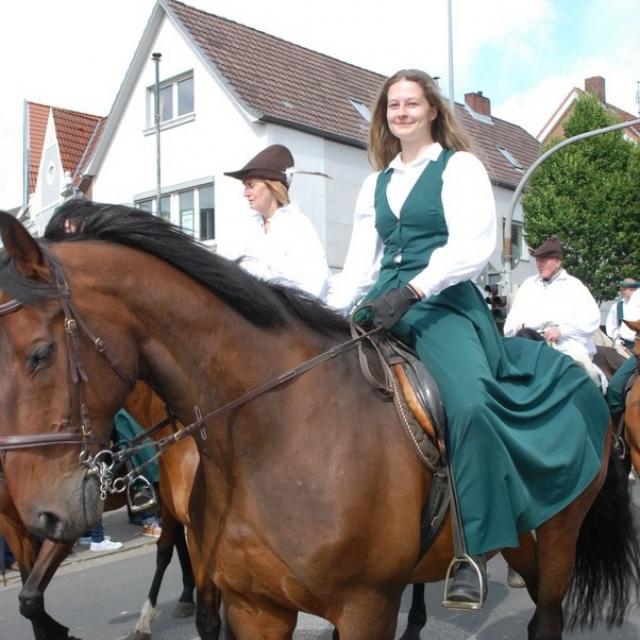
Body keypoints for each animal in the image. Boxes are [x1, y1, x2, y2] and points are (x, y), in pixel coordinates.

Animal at [0, 203, 638, 640]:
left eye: (40, 353)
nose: (44, 513)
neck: (272, 432)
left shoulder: (364, 607)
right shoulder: (256, 607)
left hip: (555, 547)